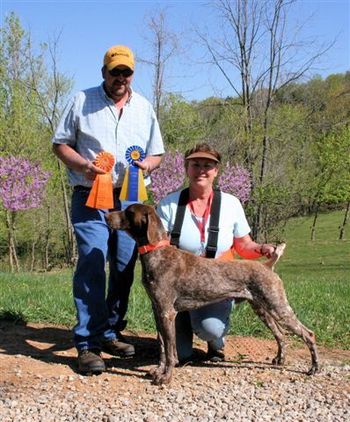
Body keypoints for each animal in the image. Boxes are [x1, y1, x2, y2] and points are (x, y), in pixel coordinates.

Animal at [104, 204, 320, 386]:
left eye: (129, 212)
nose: (106, 216)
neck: (157, 254)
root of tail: (267, 265)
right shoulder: (157, 311)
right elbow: (163, 348)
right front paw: (158, 371)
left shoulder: (167, 313)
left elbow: (171, 351)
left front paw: (166, 377)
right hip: (262, 308)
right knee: (280, 334)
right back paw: (279, 359)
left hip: (278, 306)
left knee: (307, 334)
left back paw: (314, 368)